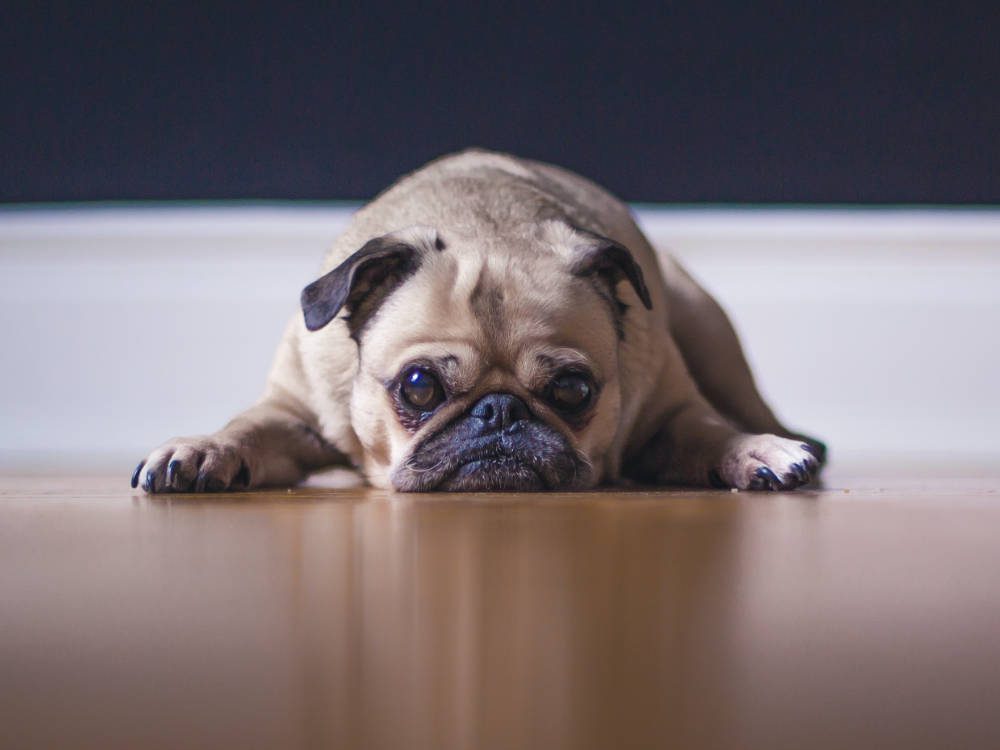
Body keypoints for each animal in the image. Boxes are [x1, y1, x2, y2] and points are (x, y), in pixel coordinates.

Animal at [129, 150, 824, 496]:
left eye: (573, 390)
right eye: (418, 387)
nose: (499, 411)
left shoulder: (671, 412)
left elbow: (710, 431)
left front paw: (753, 452)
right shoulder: (290, 412)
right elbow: (245, 427)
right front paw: (203, 449)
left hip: (706, 326)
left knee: (745, 406)